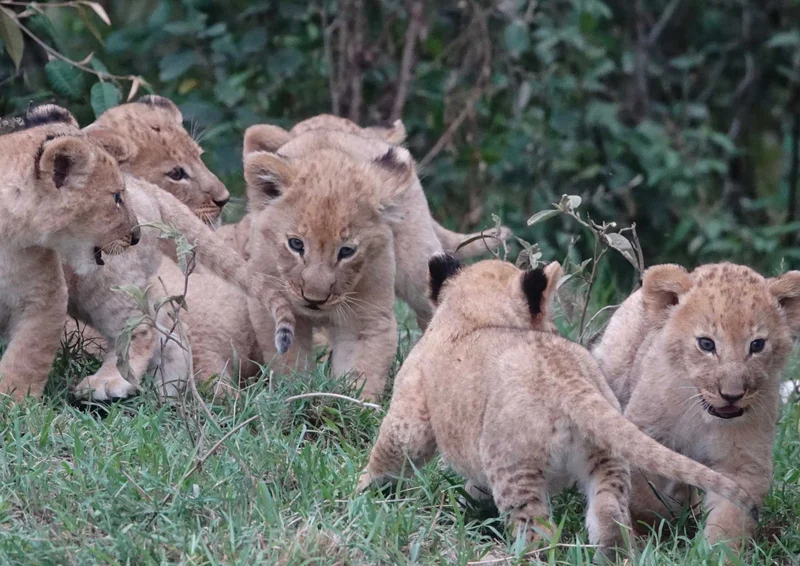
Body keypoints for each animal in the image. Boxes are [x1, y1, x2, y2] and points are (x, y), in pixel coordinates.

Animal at [358, 256, 758, 560]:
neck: (476, 313)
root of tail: (569, 384)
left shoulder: (410, 408)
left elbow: (388, 453)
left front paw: (363, 491)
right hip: (606, 459)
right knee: (609, 518)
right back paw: (614, 557)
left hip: (516, 469)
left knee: (538, 533)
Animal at [591, 262, 800, 549]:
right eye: (706, 343)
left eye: (757, 345)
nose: (732, 395)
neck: (702, 417)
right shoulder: (645, 438)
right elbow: (645, 496)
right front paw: (659, 521)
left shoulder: (743, 463)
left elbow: (730, 517)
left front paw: (715, 552)